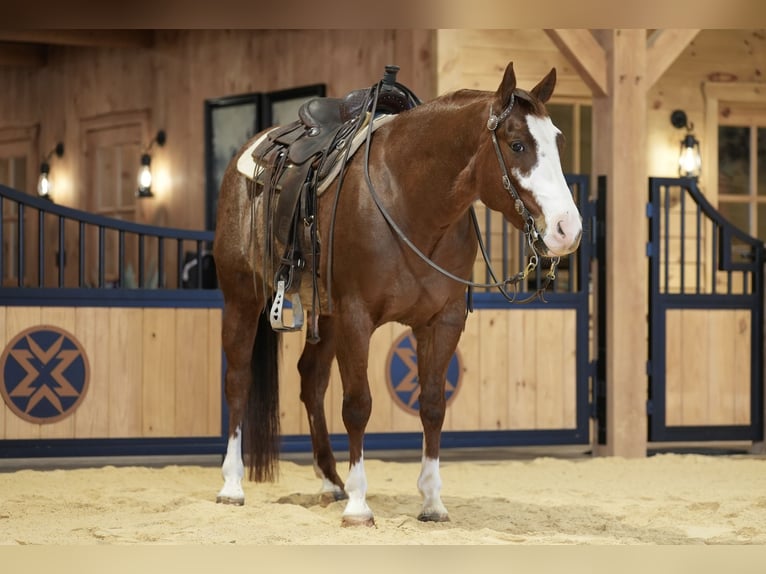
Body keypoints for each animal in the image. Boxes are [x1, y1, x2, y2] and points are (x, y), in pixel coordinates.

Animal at [212, 61, 583, 526]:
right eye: (517, 144)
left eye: (559, 142)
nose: (567, 230)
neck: (409, 199)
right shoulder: (356, 317)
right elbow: (357, 405)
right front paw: (358, 505)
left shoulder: (442, 321)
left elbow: (433, 405)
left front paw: (432, 501)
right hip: (242, 299)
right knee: (238, 380)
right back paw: (232, 485)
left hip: (324, 315)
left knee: (311, 381)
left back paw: (330, 480)